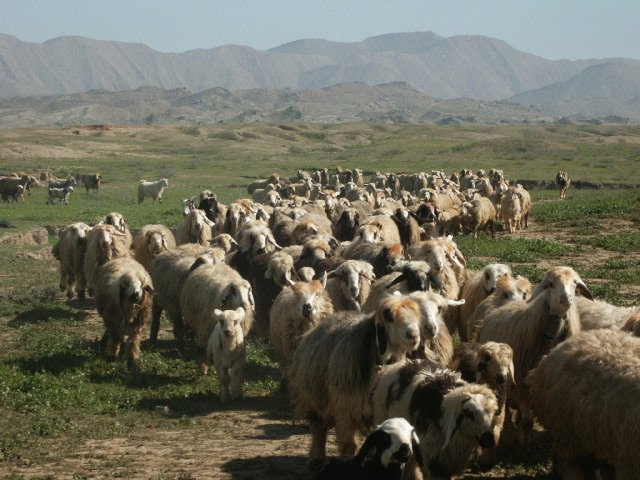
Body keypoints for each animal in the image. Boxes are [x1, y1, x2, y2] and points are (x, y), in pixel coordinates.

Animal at [289, 294, 422, 463]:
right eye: (390, 317)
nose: (414, 336)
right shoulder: (345, 407)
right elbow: (349, 445)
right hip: (314, 400)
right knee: (319, 430)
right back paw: (316, 459)